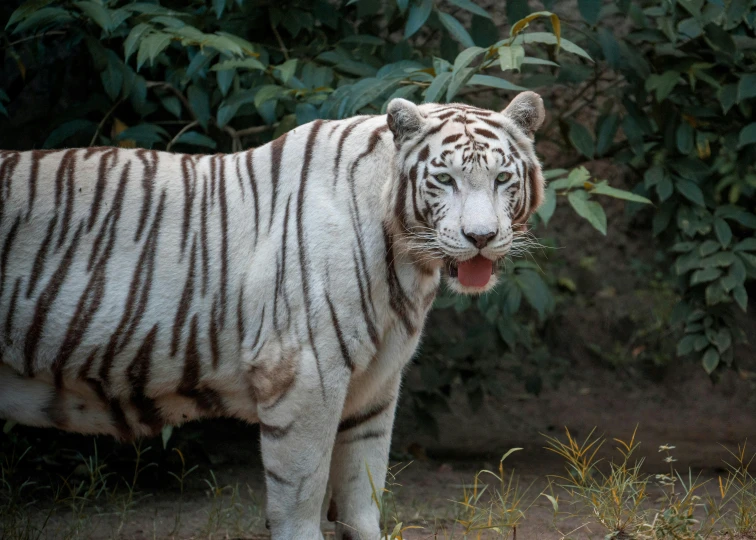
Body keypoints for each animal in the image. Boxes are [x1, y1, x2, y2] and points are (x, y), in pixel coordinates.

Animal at [0, 92, 544, 536]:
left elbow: (362, 498)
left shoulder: (376, 386)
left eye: (501, 178)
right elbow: (299, 497)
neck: (407, 264)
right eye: (445, 179)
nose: (481, 238)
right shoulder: (303, 373)